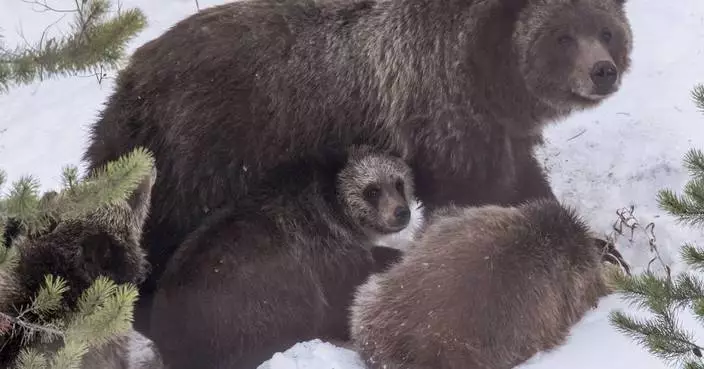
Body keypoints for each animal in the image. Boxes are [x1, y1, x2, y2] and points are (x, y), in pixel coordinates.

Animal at [82, 0, 632, 330]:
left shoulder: (496, 130)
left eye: (606, 30)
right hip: (205, 153)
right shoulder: (443, 113)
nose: (602, 71)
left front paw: (600, 245)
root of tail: (127, 83)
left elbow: (522, 181)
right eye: (563, 36)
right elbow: (481, 194)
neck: (488, 78)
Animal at [146, 147, 416, 368]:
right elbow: (346, 291)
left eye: (398, 183)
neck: (339, 212)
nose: (401, 212)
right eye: (373, 190)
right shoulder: (325, 250)